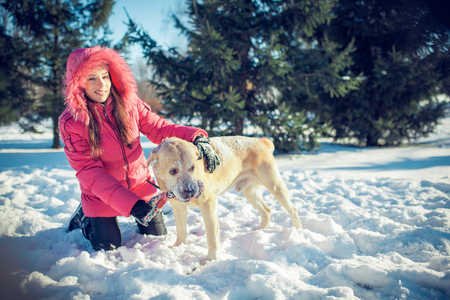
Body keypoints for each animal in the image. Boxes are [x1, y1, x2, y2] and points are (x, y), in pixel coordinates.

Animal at [149, 136, 302, 260]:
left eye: (192, 168)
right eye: (173, 171)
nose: (191, 192)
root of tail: (261, 141)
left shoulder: (209, 205)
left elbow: (212, 237)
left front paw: (211, 259)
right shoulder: (178, 206)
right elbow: (181, 230)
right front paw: (177, 247)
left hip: (274, 185)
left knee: (293, 209)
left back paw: (299, 233)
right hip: (249, 192)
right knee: (267, 210)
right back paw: (261, 231)